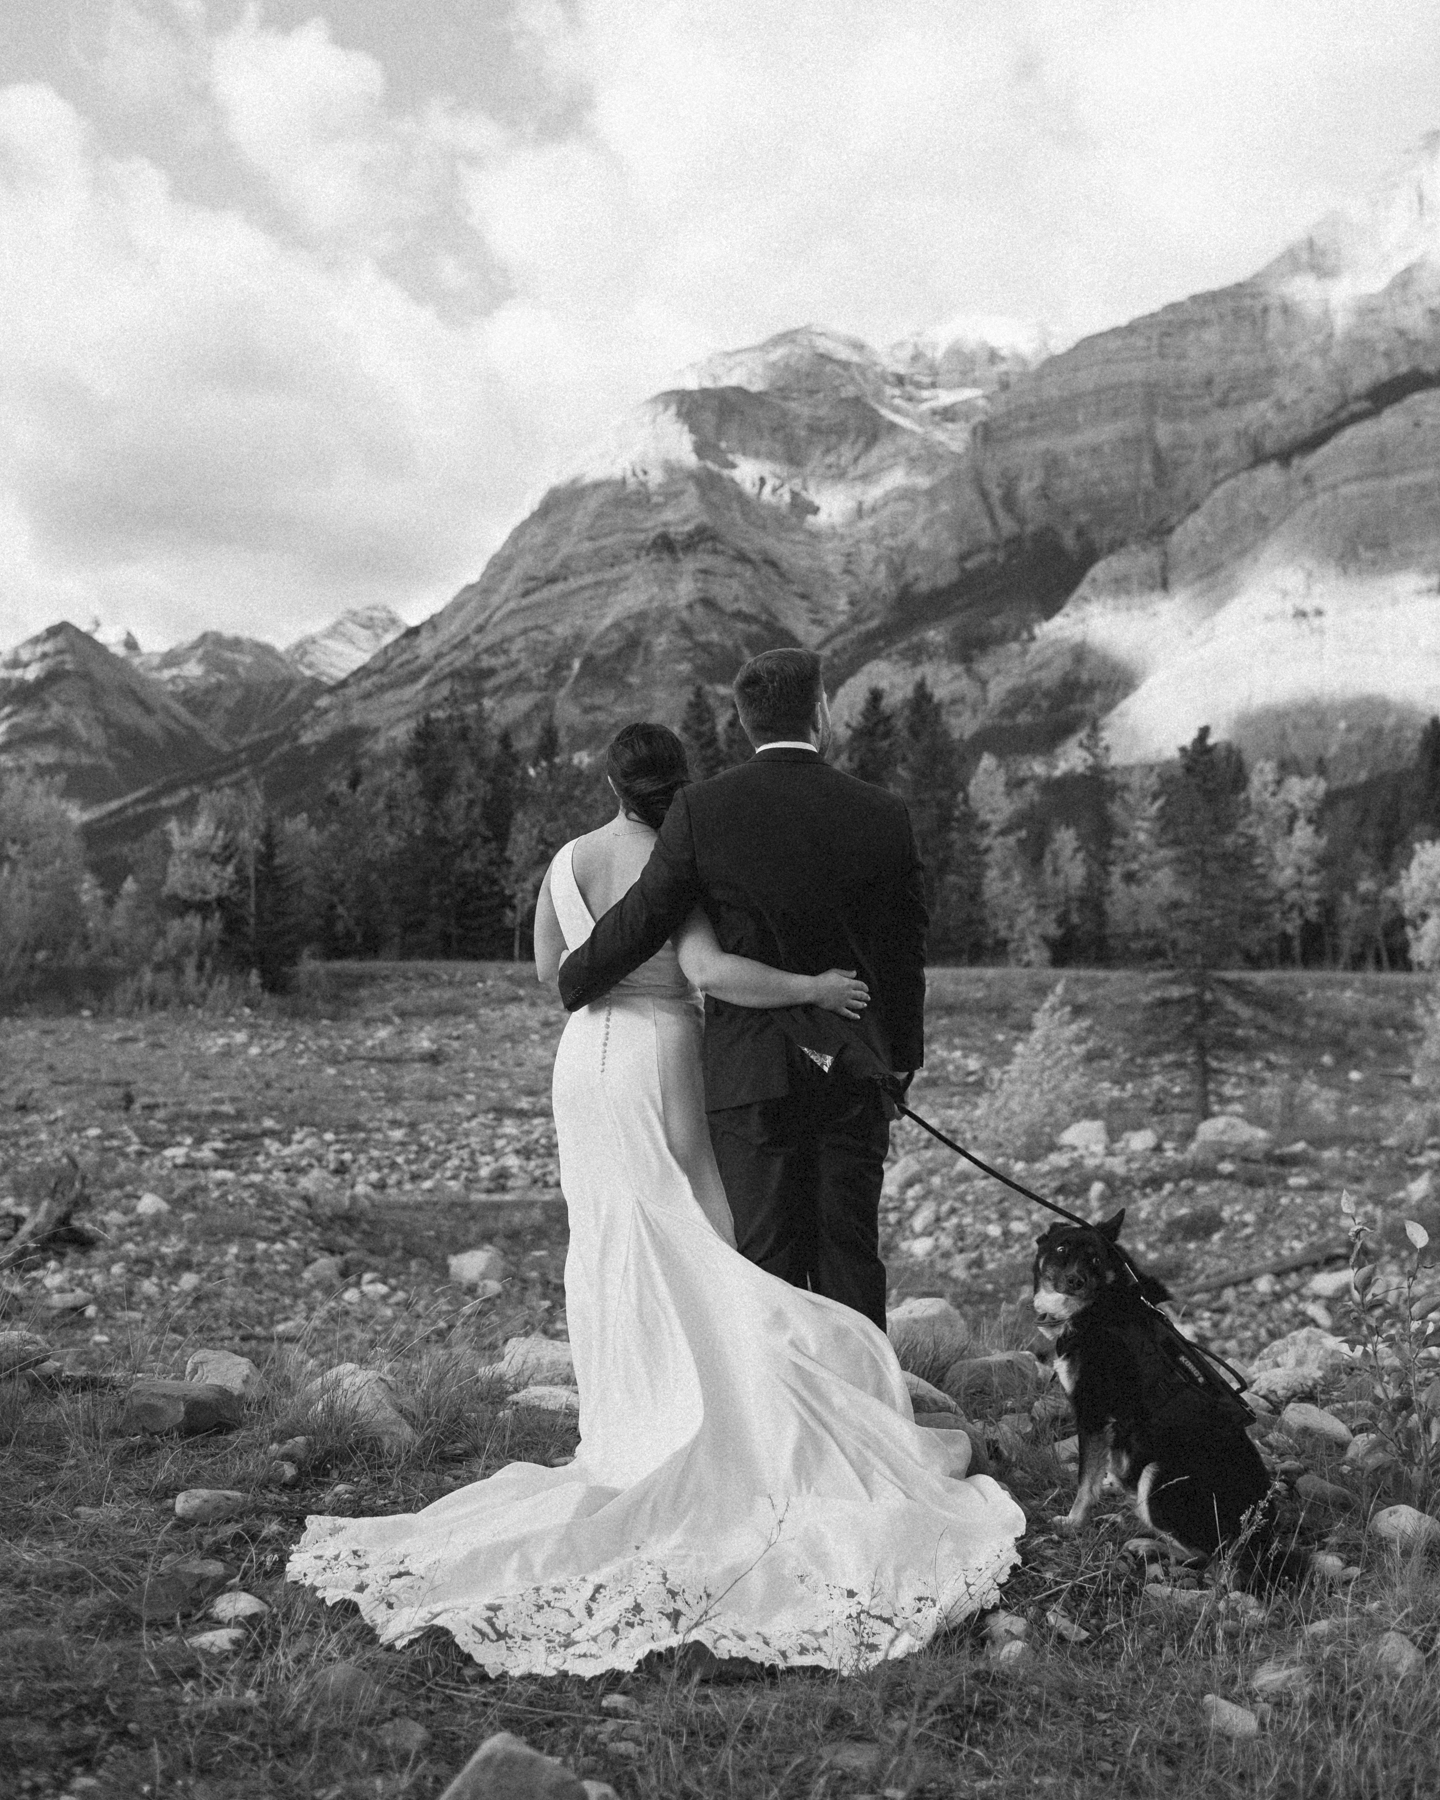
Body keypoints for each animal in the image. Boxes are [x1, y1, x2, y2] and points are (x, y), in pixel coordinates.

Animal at [1036, 1209, 1296, 1576]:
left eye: (1095, 1259)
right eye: (1061, 1249)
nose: (1076, 1281)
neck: (1098, 1305)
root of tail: (1260, 1534)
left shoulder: (1092, 1414)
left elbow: (1085, 1483)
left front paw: (1073, 1522)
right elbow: (1101, 1472)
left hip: (1158, 1476)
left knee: (1208, 1555)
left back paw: (1147, 1544)